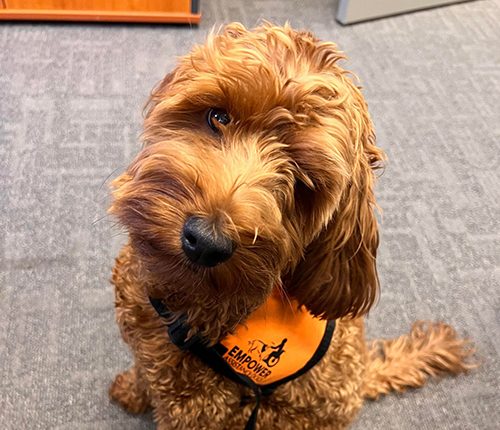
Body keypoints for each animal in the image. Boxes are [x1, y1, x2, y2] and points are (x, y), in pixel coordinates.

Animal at [107, 21, 474, 428]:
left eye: (302, 185)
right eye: (218, 117)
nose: (205, 241)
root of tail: (363, 376)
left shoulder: (199, 407)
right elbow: (144, 374)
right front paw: (132, 391)